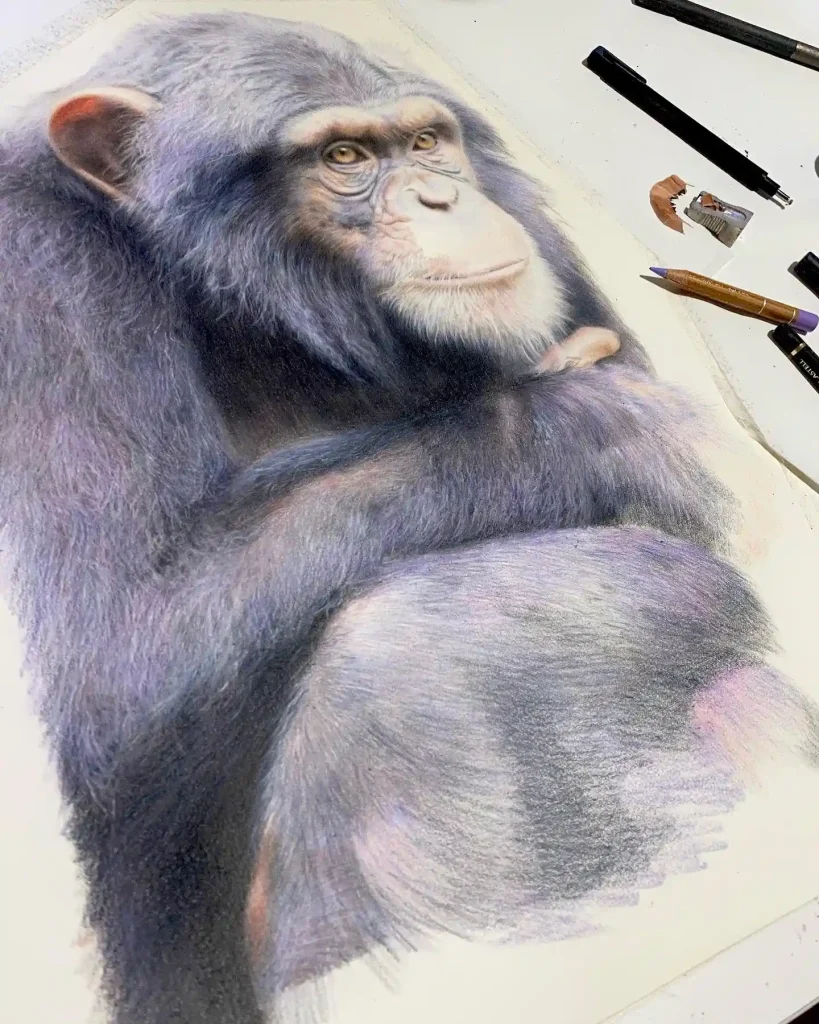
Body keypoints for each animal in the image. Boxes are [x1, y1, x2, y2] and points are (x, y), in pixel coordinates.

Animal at [0, 12, 805, 1024]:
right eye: (344, 156)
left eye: (424, 141)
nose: (439, 195)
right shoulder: (44, 277)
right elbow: (130, 642)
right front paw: (622, 431)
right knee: (408, 653)